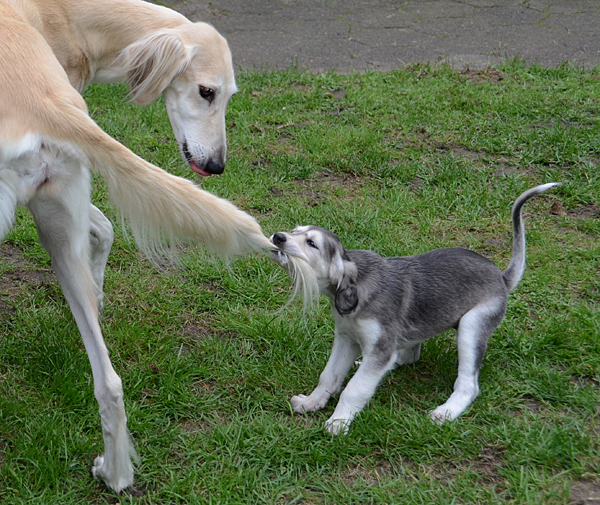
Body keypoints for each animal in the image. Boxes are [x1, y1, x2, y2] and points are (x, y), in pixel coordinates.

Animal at [0, 0, 276, 492]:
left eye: (227, 96)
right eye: (207, 92)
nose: (216, 166)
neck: (62, 16)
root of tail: (41, 100)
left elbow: (106, 227)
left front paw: (97, 292)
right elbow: (106, 229)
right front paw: (98, 293)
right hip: (56, 218)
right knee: (110, 384)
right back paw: (116, 475)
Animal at [270, 183, 560, 436]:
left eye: (312, 243)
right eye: (295, 230)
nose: (278, 236)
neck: (357, 288)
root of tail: (501, 277)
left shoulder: (380, 348)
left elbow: (354, 389)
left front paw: (339, 423)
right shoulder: (346, 338)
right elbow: (328, 376)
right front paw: (311, 402)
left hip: (472, 326)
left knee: (468, 385)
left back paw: (445, 412)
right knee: (410, 355)